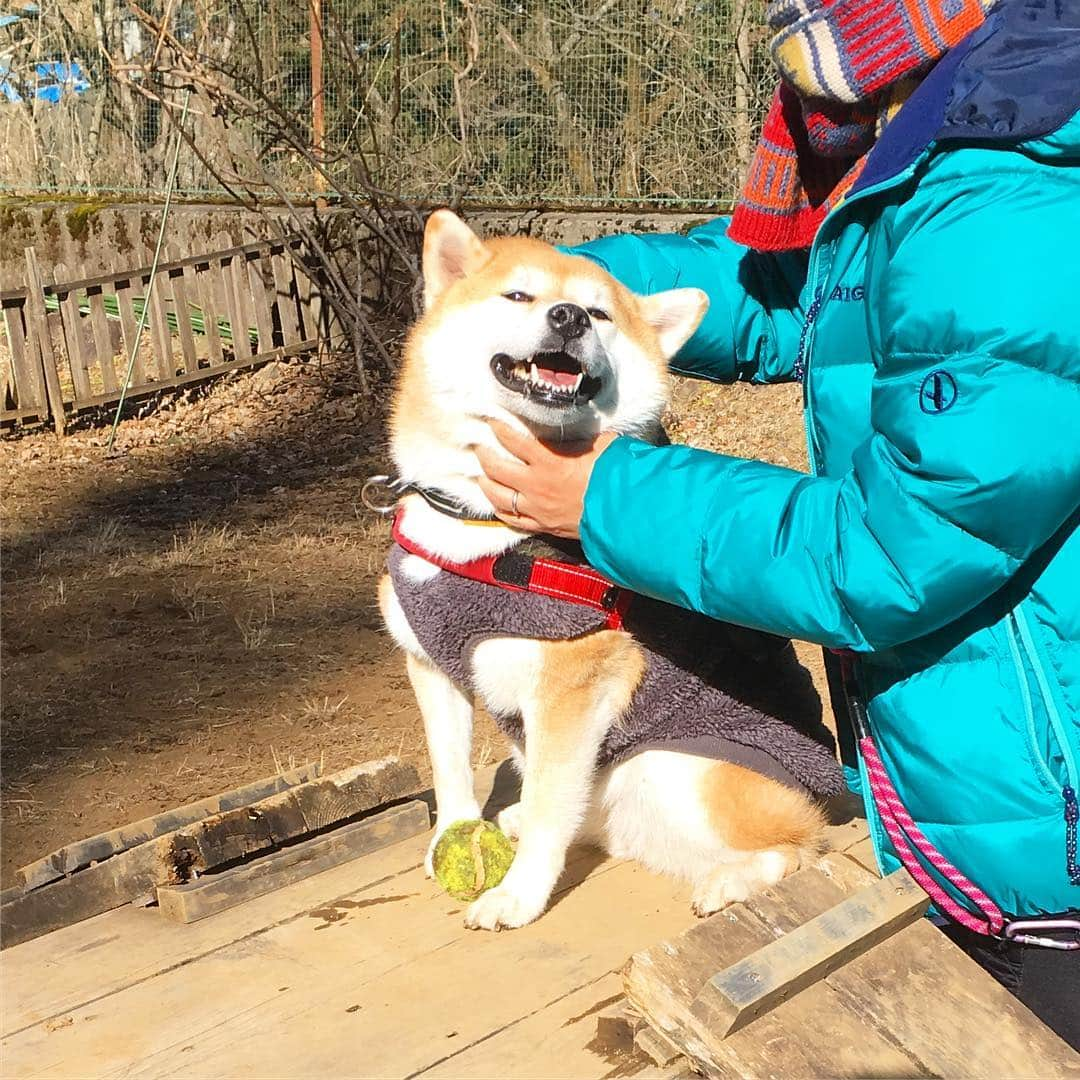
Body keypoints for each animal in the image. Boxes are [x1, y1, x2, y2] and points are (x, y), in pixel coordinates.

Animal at [380, 208, 842, 928]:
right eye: (519, 295)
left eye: (598, 313)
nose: (568, 316)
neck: (476, 522)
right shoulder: (432, 667)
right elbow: (451, 773)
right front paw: (451, 840)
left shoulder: (572, 685)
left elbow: (551, 810)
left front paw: (517, 896)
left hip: (679, 771)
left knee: (799, 845)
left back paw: (731, 881)